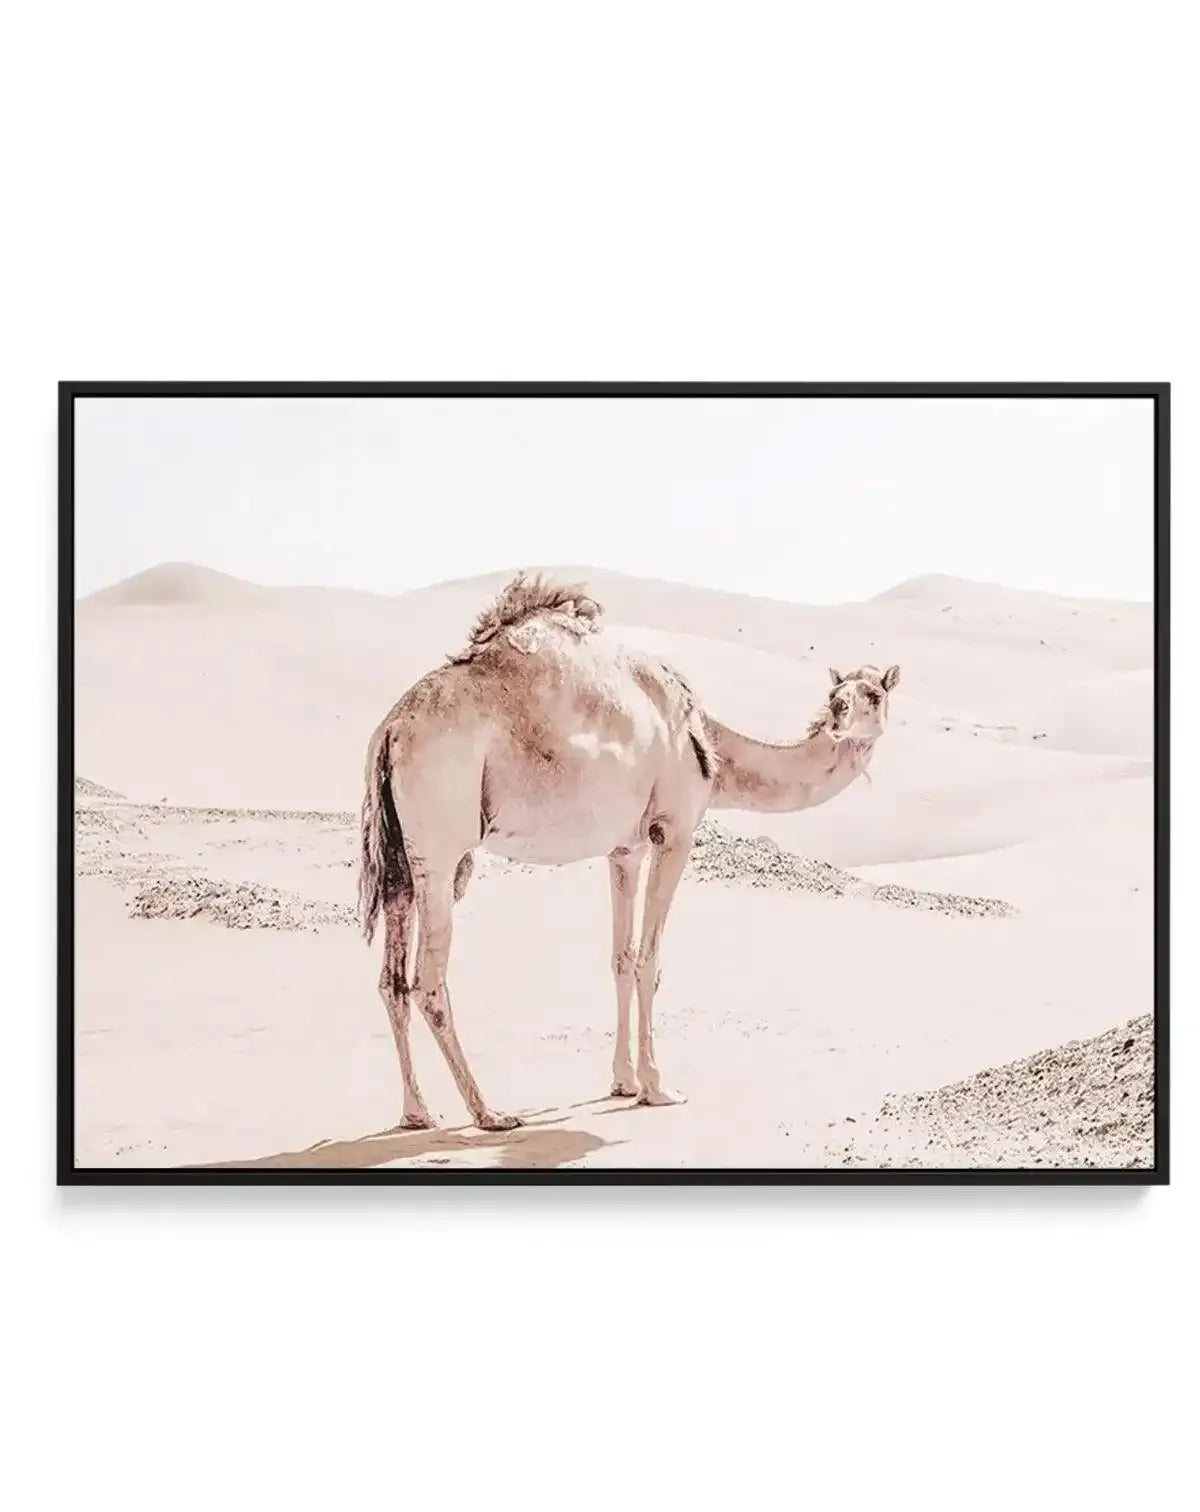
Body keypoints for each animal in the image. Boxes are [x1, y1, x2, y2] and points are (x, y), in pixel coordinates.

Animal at [359, 573, 900, 1131]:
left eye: (872, 693)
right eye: (839, 692)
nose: (838, 714)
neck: (711, 747)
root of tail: (391, 729)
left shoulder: (626, 848)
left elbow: (621, 955)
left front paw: (622, 1081)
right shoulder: (674, 833)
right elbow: (649, 957)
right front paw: (658, 1087)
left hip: (401, 857)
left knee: (391, 979)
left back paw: (419, 1112)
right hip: (441, 846)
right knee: (428, 981)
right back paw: (489, 1112)